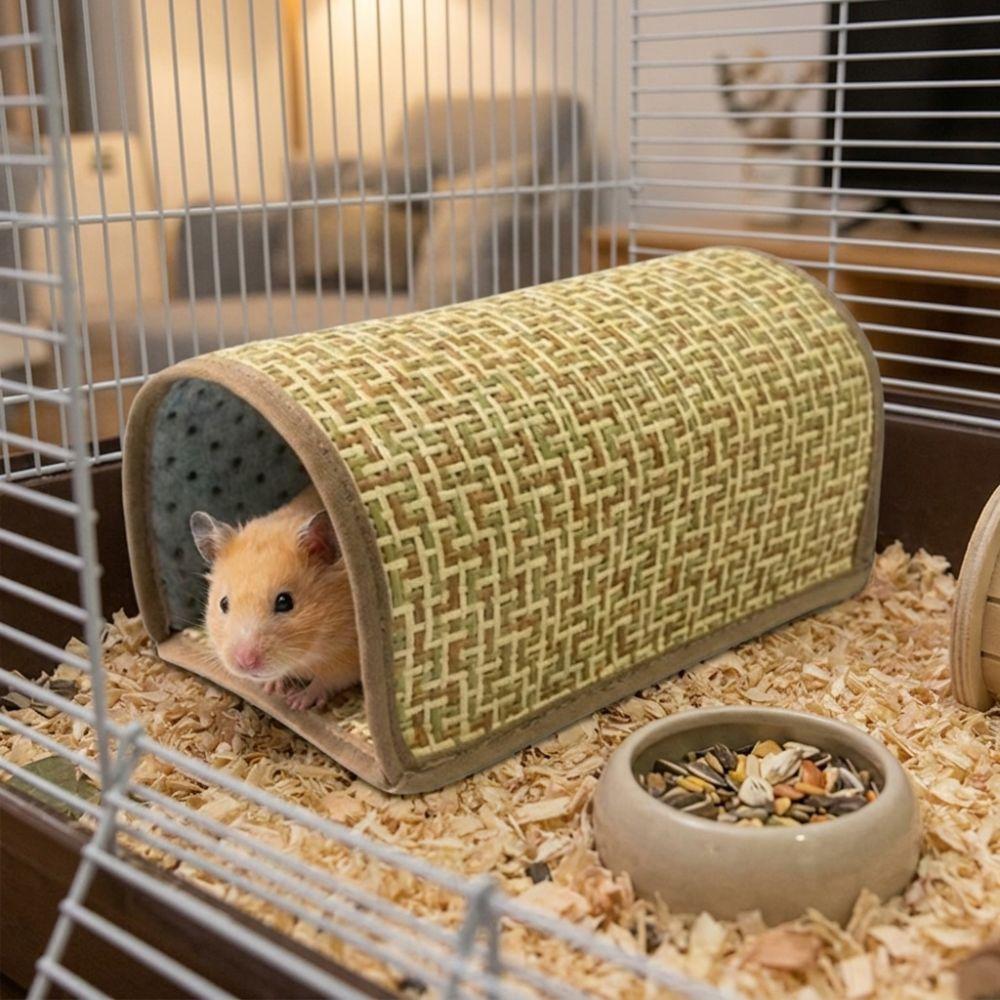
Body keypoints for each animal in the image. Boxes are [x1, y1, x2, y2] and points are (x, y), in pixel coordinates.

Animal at [190, 486, 360, 711]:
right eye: (223, 603)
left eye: (284, 602)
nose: (245, 662)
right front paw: (270, 688)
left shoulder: (348, 658)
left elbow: (324, 681)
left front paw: (297, 702)